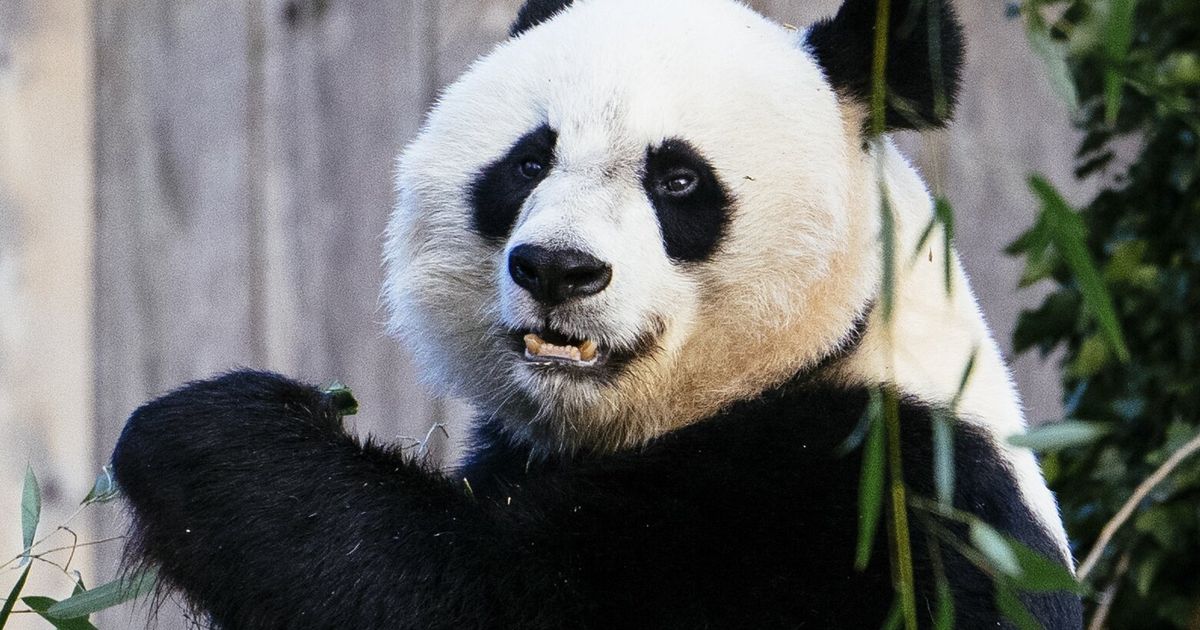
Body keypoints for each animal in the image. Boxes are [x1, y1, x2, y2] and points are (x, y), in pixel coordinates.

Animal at [111, 0, 1083, 628]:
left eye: (679, 179)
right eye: (529, 161)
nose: (557, 268)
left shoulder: (882, 499)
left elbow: (484, 592)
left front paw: (210, 438)